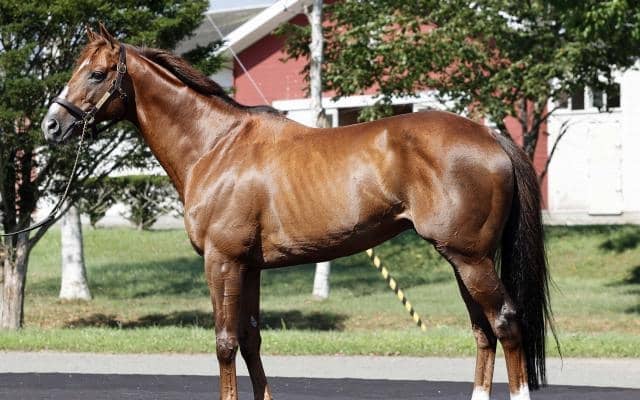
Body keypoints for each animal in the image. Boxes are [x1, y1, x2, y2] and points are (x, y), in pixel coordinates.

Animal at [42, 25, 554, 400]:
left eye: (96, 74)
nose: (52, 124)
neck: (215, 146)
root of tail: (490, 137)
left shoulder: (222, 263)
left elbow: (225, 342)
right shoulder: (248, 268)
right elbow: (251, 341)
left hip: (471, 259)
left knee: (505, 322)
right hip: (461, 258)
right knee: (483, 330)